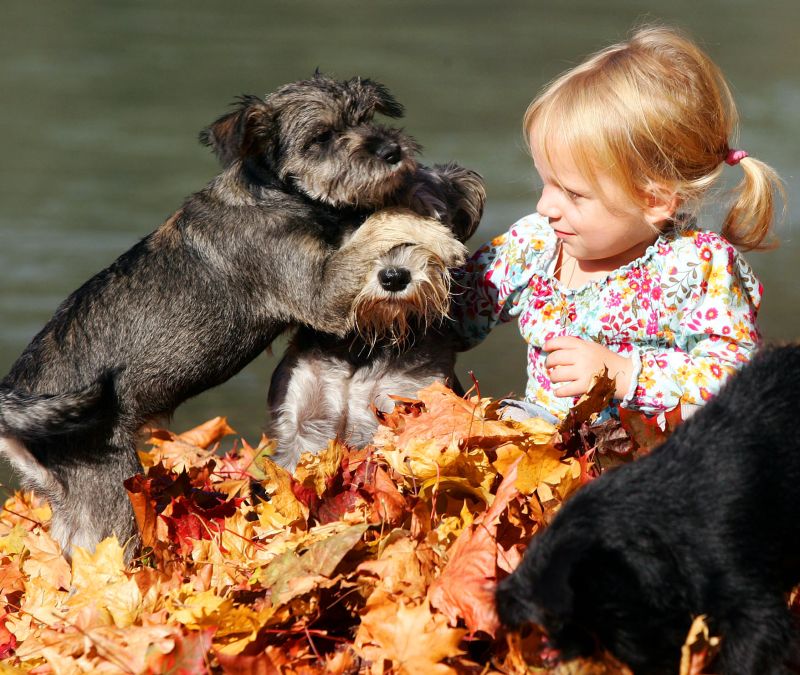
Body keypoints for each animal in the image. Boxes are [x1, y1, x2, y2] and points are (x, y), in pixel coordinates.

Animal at [0, 72, 462, 560]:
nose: (393, 151)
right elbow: (374, 224)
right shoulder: (321, 292)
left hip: (72, 503)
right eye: (321, 137)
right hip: (112, 492)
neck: (274, 191)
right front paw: (433, 231)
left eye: (367, 115)